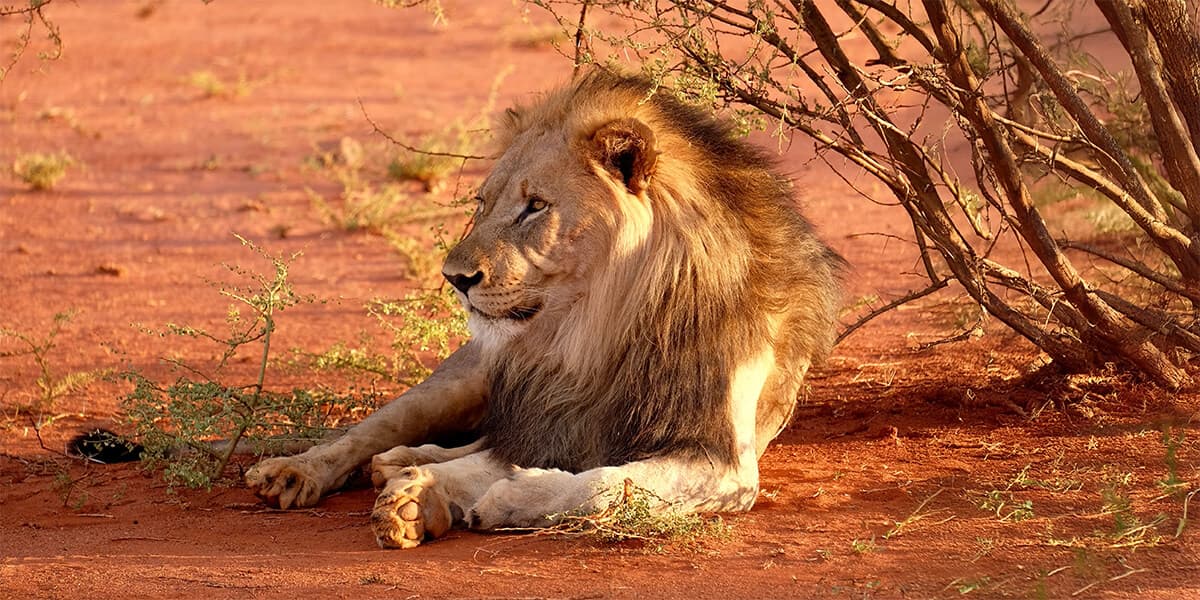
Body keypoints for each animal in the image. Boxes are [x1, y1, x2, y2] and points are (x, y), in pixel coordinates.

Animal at [245, 70, 843, 548]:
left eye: (535, 207)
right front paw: (423, 496)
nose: (454, 278)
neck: (598, 327)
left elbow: (604, 483)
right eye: (482, 204)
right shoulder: (560, 416)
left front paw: (489, 498)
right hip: (467, 376)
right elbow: (503, 458)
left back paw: (406, 465)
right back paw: (301, 472)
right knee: (373, 430)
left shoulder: (723, 462)